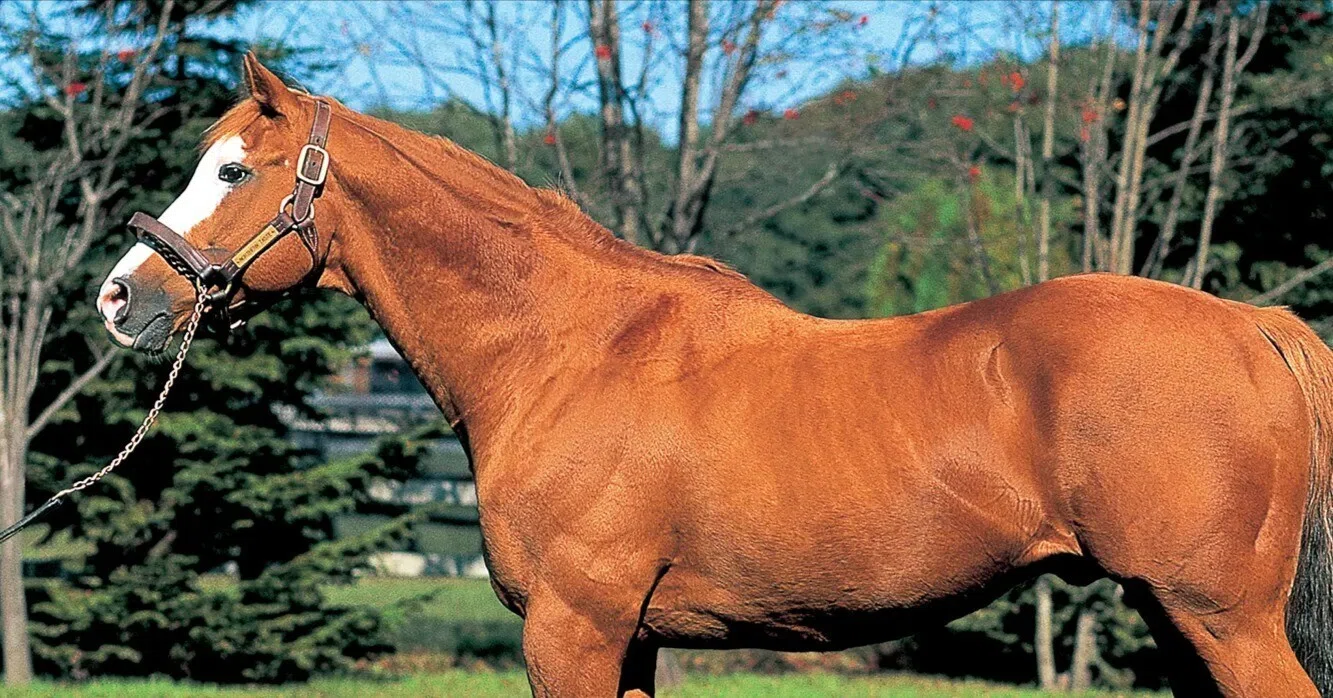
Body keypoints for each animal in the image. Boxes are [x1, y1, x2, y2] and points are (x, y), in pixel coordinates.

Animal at [95, 54, 1333, 697]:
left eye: (234, 169)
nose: (118, 297)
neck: (565, 349)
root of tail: (1253, 325)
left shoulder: (573, 630)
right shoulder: (631, 636)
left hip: (1221, 618)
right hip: (1177, 619)